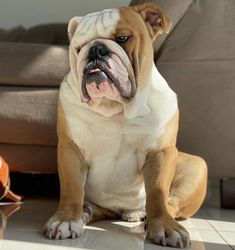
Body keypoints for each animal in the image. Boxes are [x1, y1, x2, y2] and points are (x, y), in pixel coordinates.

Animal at [45, 2, 207, 247]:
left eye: (122, 38)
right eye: (78, 48)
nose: (95, 50)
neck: (115, 109)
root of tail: (123, 211)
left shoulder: (161, 153)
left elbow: (158, 193)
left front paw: (165, 226)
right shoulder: (70, 148)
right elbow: (72, 188)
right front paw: (66, 220)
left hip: (196, 166)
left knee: (170, 202)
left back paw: (146, 217)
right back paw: (86, 211)